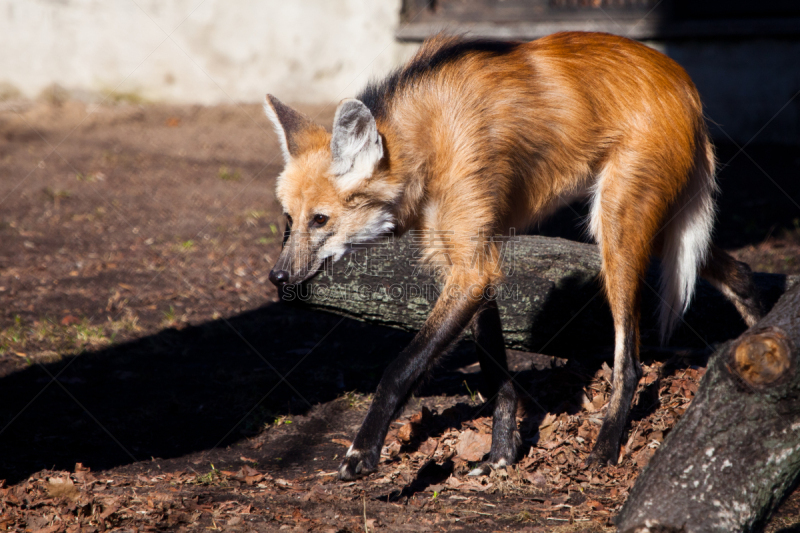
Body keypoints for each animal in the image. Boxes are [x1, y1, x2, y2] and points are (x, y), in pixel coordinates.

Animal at [264, 31, 764, 480]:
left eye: (320, 220)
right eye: (289, 219)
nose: (277, 277)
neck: (426, 143)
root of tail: (684, 83)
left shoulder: (472, 269)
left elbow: (400, 368)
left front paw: (362, 453)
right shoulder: (469, 262)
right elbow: (498, 375)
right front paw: (502, 454)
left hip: (616, 231)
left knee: (631, 362)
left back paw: (605, 446)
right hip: (649, 226)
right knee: (736, 270)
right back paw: (764, 337)